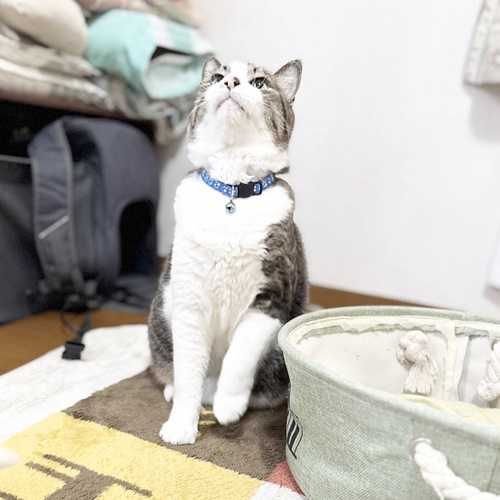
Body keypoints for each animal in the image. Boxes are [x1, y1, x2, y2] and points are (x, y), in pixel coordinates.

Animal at [148, 56, 308, 445]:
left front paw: (228, 406)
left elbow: (240, 355)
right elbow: (188, 373)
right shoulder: (189, 301)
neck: (232, 194)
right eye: (219, 77)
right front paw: (181, 426)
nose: (232, 82)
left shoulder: (272, 296)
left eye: (260, 82)